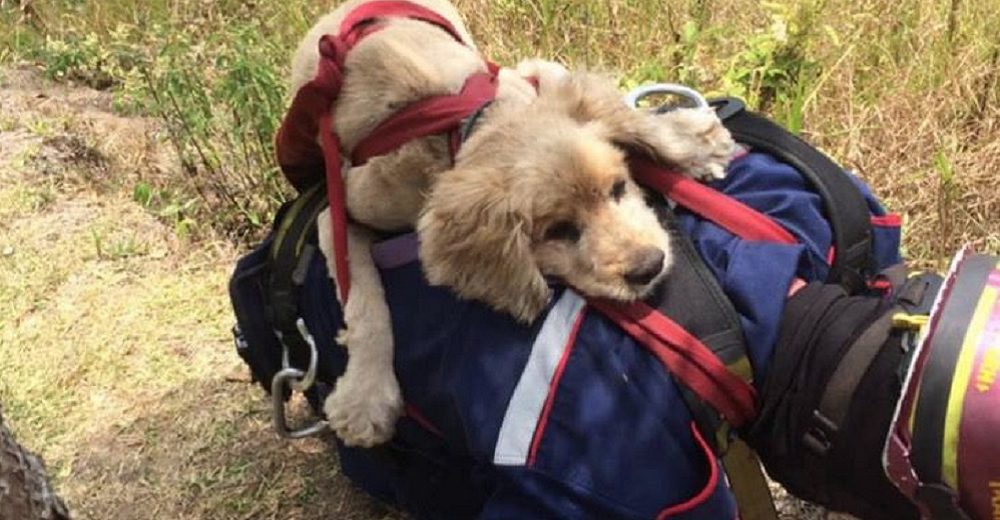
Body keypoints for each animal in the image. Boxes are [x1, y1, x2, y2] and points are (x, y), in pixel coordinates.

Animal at [292, 0, 736, 446]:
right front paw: (365, 397)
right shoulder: (338, 209)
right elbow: (363, 301)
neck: (456, 127)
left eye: (619, 186)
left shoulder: (529, 82)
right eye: (558, 231)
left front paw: (693, 143)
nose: (650, 266)